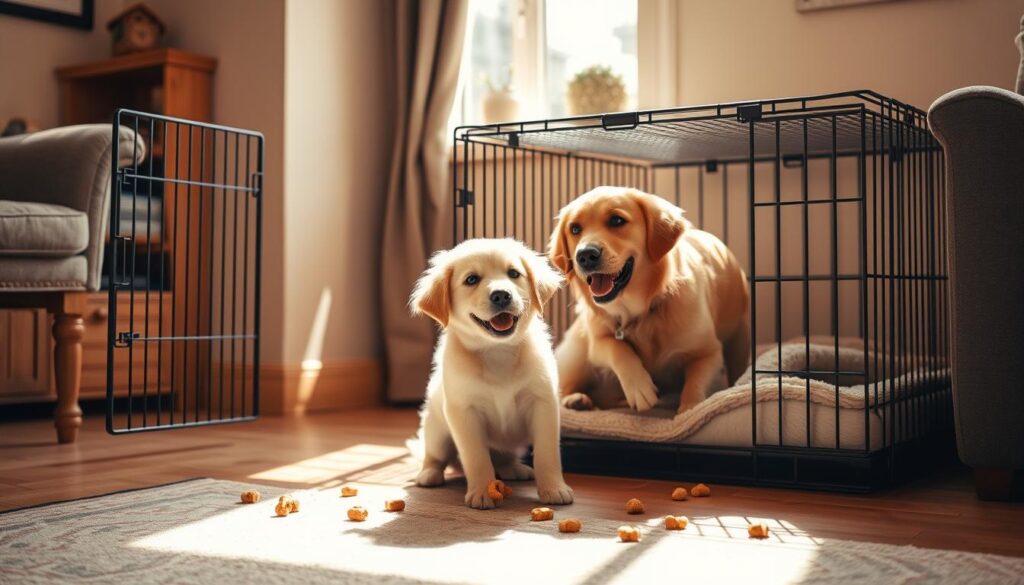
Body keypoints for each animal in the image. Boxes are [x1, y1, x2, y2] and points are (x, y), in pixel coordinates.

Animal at [409, 237, 577, 508]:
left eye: (513, 273)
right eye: (471, 279)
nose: (501, 295)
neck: (498, 351)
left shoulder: (543, 402)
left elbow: (547, 453)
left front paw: (554, 488)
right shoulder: (464, 411)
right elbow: (476, 456)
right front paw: (483, 492)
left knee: (503, 460)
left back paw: (514, 469)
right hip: (436, 431)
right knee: (434, 455)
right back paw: (428, 474)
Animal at [548, 186, 749, 411]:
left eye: (616, 220)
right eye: (575, 229)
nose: (585, 255)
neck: (641, 310)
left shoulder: (709, 352)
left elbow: (695, 384)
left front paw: (689, 409)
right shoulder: (598, 342)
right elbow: (617, 347)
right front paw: (639, 387)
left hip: (739, 340)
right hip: (579, 357)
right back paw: (576, 400)